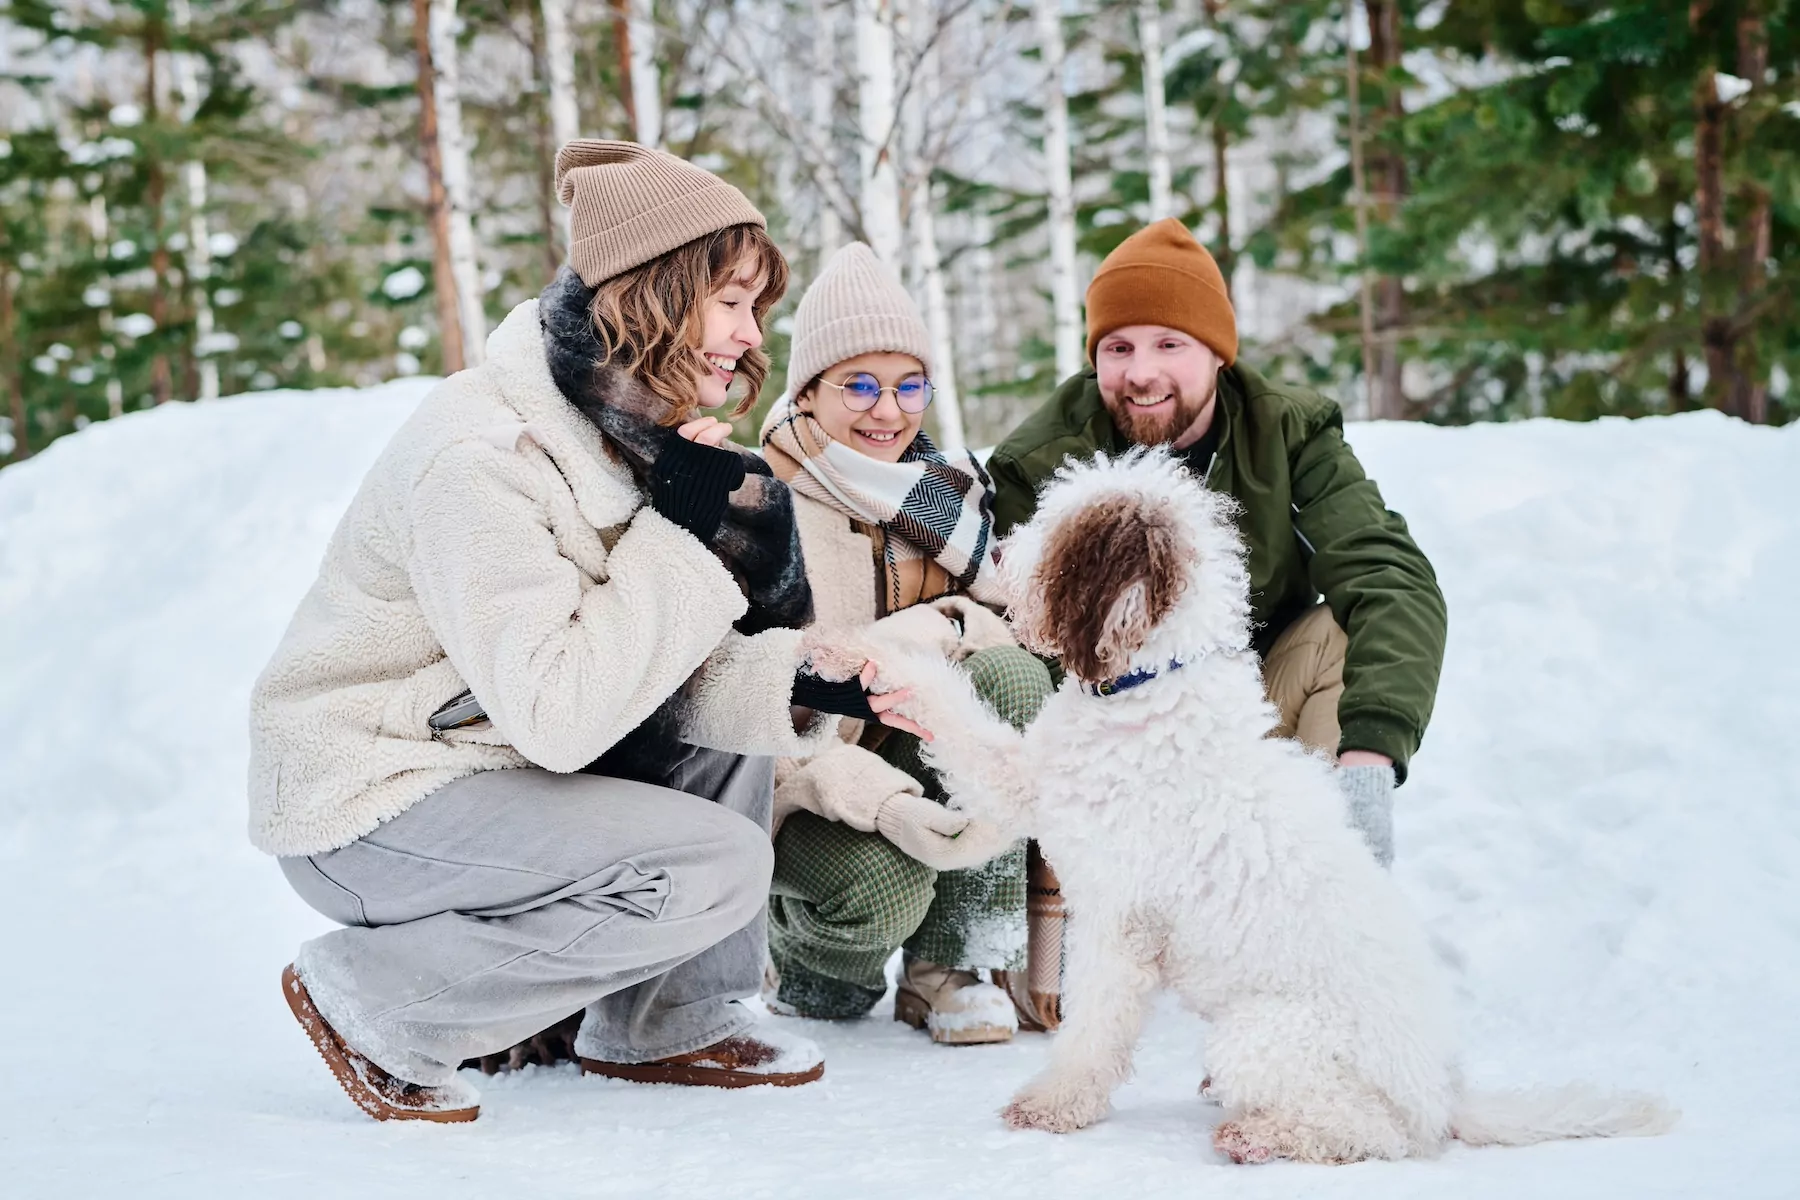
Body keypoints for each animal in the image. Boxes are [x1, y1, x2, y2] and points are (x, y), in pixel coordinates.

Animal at [842, 447, 1670, 1165]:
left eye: (1060, 528)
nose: (998, 558)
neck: (1153, 685)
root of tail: (1445, 1093)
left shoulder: (1113, 916)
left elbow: (1092, 1030)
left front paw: (1055, 1104)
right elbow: (956, 719)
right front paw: (862, 653)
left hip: (1263, 1038)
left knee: (1381, 1135)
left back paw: (1262, 1135)